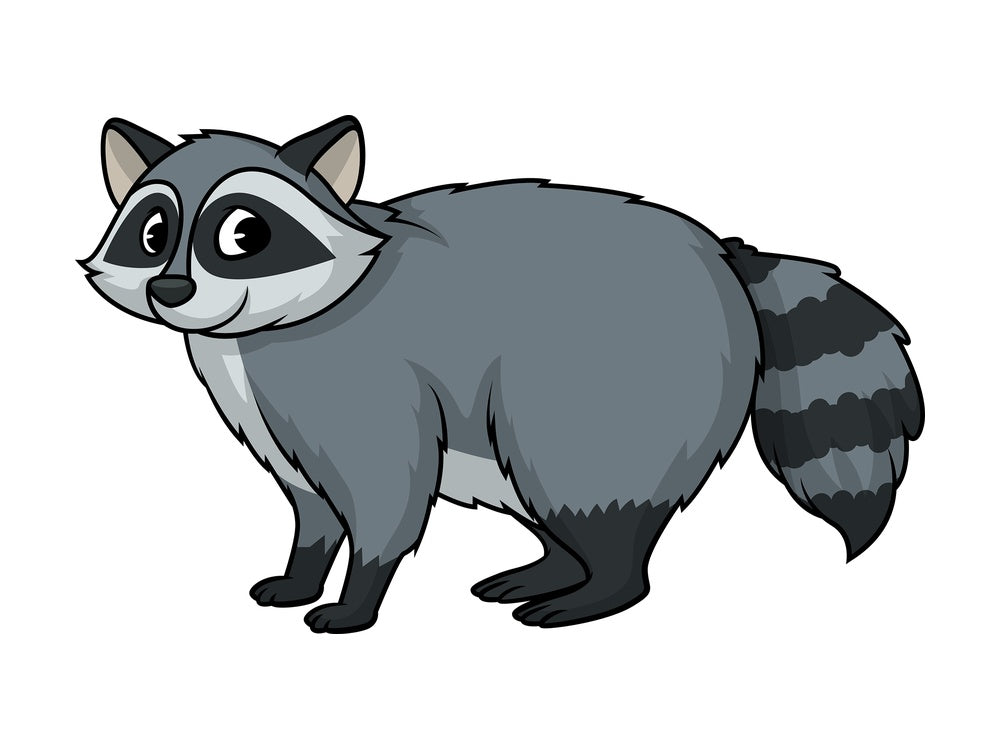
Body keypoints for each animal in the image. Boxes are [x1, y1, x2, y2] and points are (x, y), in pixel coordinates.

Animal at [82, 116, 924, 632]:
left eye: (243, 235)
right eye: (152, 233)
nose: (171, 290)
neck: (247, 336)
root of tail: (723, 252)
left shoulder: (361, 389)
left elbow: (385, 500)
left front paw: (358, 597)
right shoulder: (272, 420)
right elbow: (310, 507)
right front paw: (302, 571)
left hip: (608, 387)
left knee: (584, 485)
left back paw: (600, 587)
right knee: (539, 494)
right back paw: (552, 567)